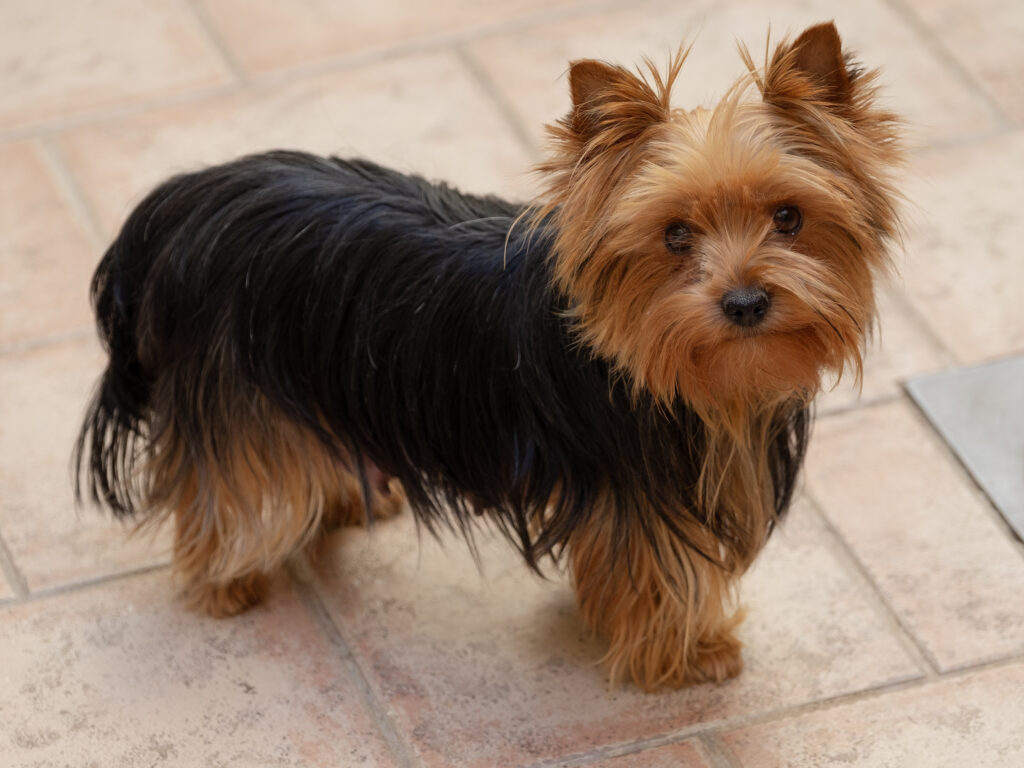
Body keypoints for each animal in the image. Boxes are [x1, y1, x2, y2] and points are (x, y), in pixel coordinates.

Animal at [75, 22, 902, 690]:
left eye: (789, 217)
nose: (745, 302)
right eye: (673, 235)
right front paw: (688, 657)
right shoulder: (641, 499)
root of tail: (179, 203)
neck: (704, 385)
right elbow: (660, 577)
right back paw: (226, 581)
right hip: (229, 387)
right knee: (222, 484)